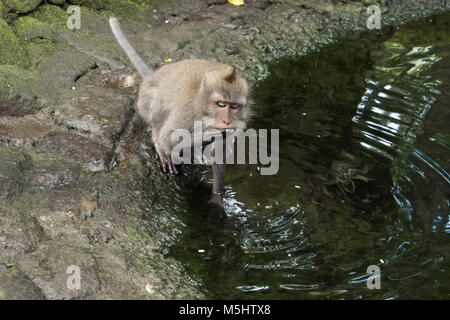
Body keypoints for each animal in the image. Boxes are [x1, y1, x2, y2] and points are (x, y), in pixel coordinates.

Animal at [107, 17, 251, 206]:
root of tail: (151, 76)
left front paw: (217, 197)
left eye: (233, 106)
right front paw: (207, 136)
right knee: (158, 117)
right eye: (221, 104)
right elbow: (168, 136)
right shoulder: (188, 111)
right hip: (145, 100)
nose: (227, 121)